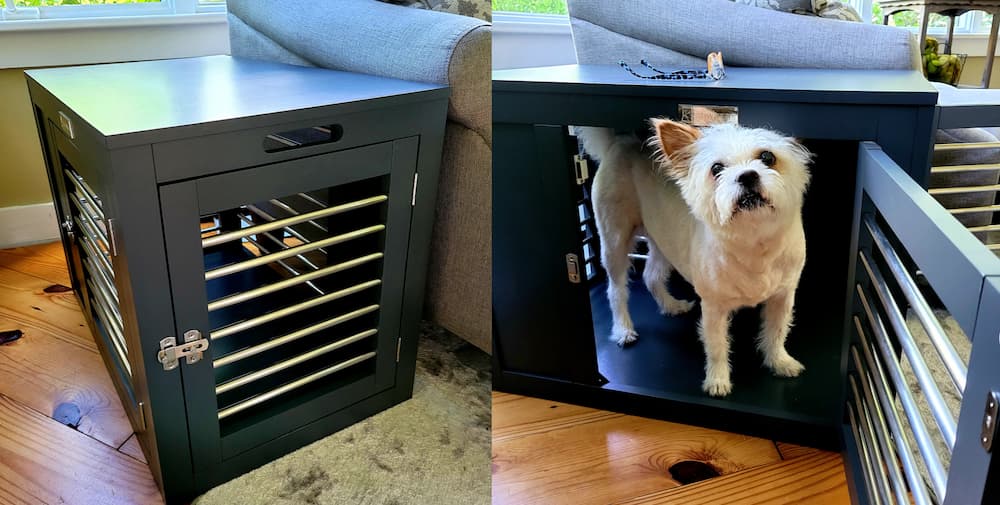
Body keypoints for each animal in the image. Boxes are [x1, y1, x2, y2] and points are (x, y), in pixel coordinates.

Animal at [580, 120, 812, 396]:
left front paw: (779, 361)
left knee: (651, 276)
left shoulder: (783, 297)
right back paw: (623, 329)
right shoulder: (713, 308)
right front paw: (718, 380)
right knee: (616, 290)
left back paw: (671, 305)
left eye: (767, 157)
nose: (747, 175)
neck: (754, 242)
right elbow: (717, 345)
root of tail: (622, 142)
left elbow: (777, 331)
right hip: (614, 242)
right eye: (717, 169)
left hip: (663, 241)